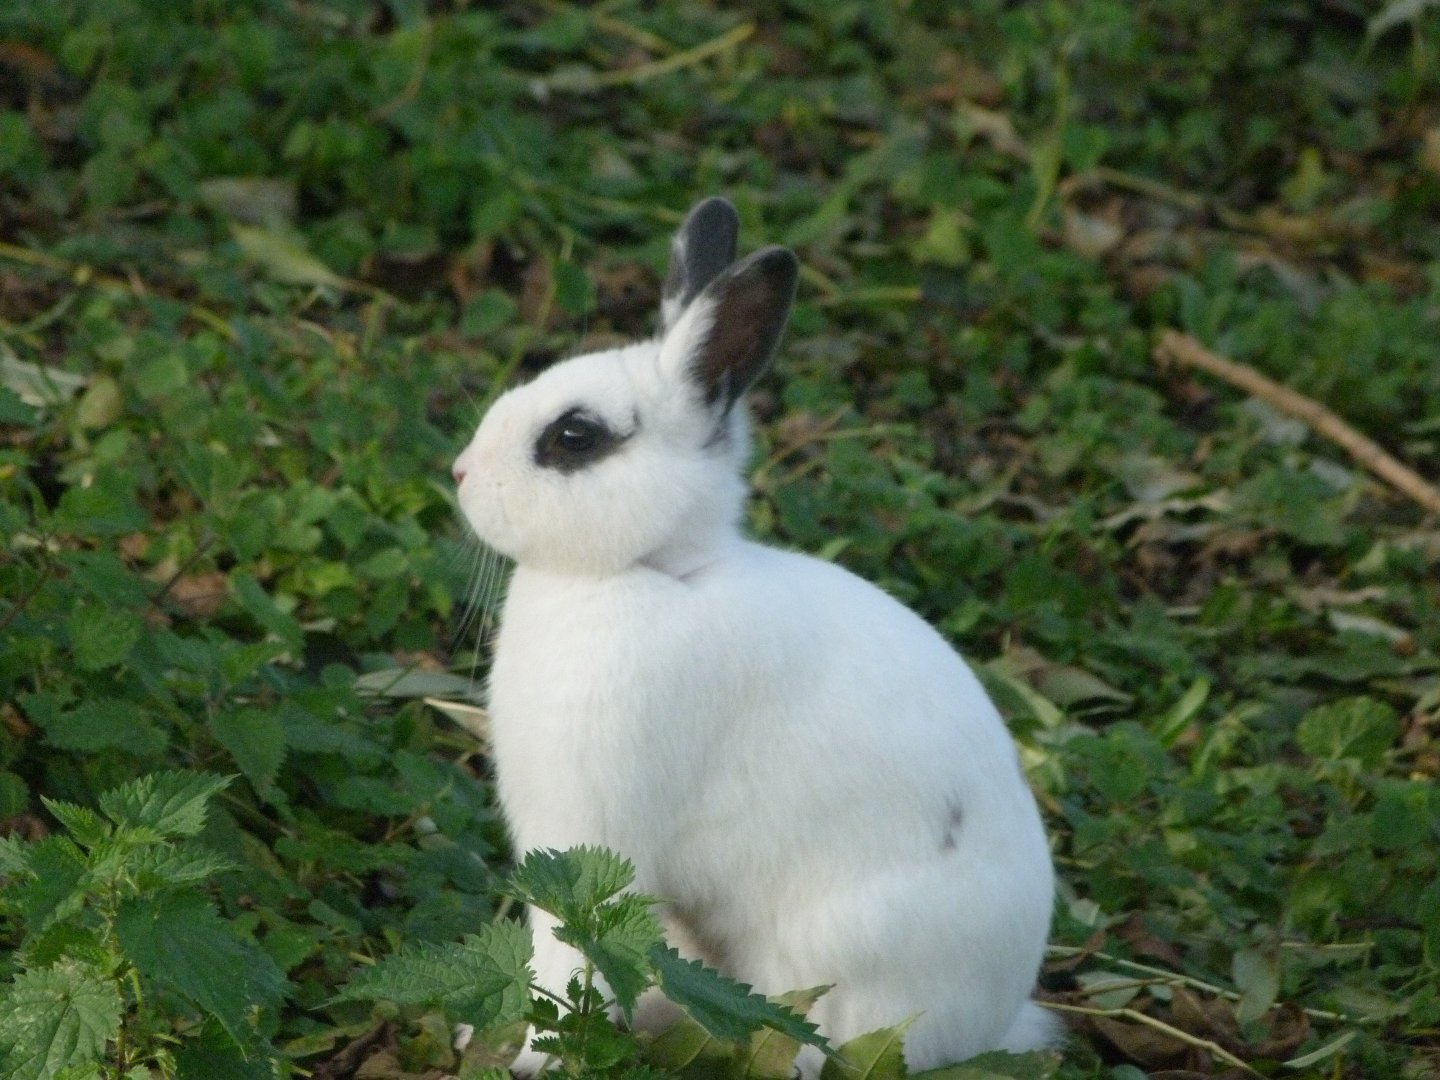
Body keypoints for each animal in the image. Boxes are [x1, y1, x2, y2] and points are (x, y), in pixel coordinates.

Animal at [452, 197, 1058, 1076]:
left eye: (574, 438)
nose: (461, 474)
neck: (653, 570)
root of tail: (996, 1016)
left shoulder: (590, 831)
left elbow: (571, 956)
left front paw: (535, 1058)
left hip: (837, 965)